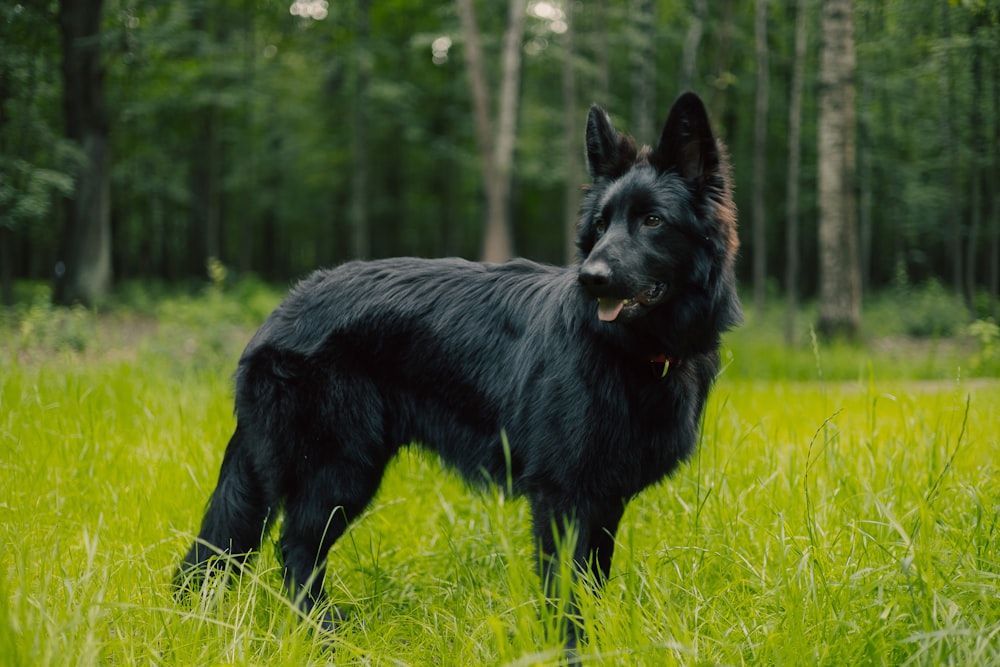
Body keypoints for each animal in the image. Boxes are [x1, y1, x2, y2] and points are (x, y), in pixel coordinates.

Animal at [178, 91, 744, 648]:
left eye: (653, 221)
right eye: (601, 225)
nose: (591, 278)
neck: (632, 353)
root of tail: (279, 313)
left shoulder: (605, 497)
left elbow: (592, 581)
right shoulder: (562, 496)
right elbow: (564, 588)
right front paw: (566, 650)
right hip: (340, 469)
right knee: (295, 549)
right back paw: (325, 636)